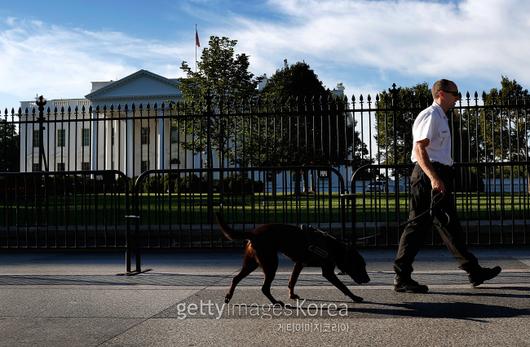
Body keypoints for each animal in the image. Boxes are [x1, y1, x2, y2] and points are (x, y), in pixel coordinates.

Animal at [213, 212, 368, 308]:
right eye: (359, 266)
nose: (368, 280)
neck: (334, 248)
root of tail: (253, 233)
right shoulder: (328, 272)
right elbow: (343, 287)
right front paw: (355, 297)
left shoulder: (299, 264)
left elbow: (292, 281)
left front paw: (292, 295)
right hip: (270, 263)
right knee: (264, 288)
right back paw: (276, 302)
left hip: (252, 263)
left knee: (236, 279)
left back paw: (228, 296)